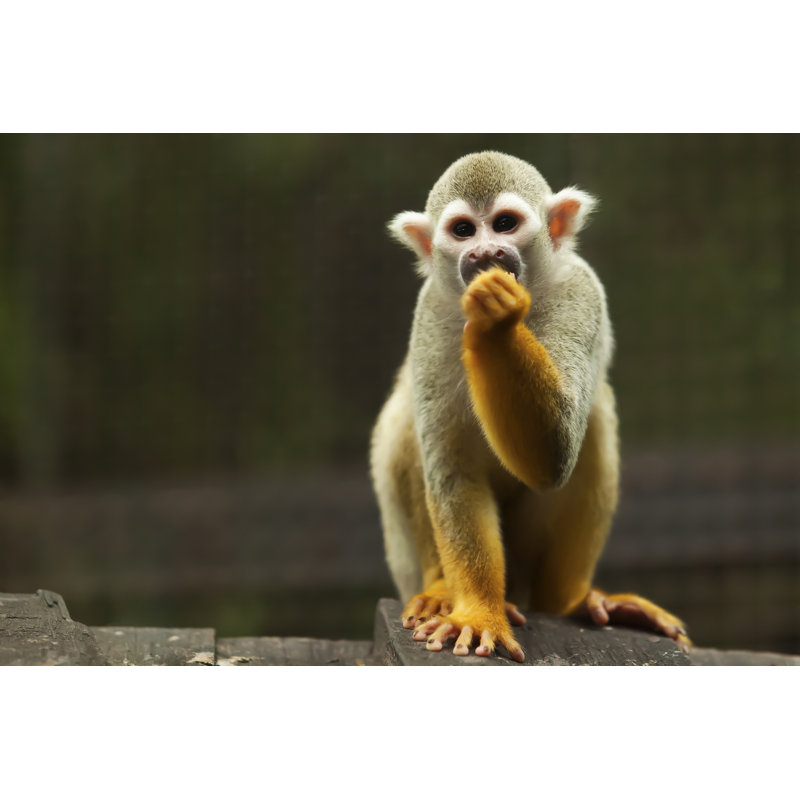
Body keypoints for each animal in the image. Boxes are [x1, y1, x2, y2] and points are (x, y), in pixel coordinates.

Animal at [370, 151, 689, 662]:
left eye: (504, 224)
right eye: (464, 230)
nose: (484, 253)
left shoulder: (581, 291)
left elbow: (552, 454)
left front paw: (495, 322)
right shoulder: (430, 313)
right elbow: (454, 471)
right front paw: (480, 611)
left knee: (594, 415)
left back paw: (573, 600)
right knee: (406, 420)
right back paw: (440, 588)